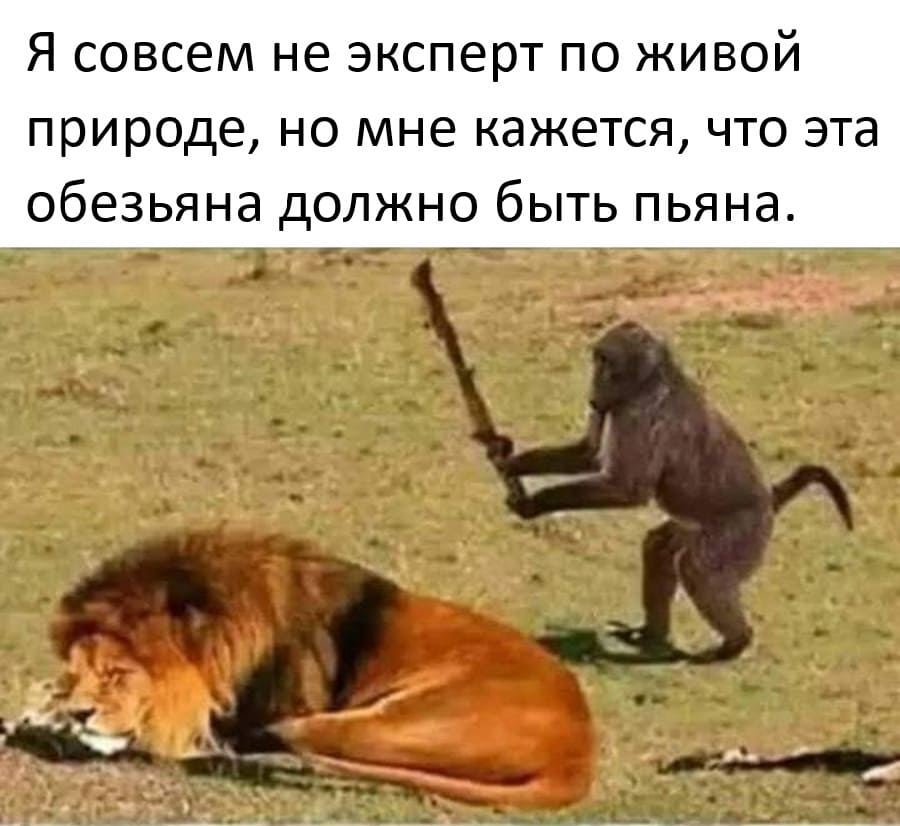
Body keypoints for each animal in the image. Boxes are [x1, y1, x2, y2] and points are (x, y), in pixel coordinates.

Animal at [489, 320, 853, 662]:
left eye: (605, 361)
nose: (593, 392)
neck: (654, 377)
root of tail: (769, 499)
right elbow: (588, 453)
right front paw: (508, 460)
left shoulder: (642, 413)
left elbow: (628, 489)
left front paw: (533, 504)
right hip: (693, 526)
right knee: (658, 548)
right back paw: (651, 634)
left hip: (740, 531)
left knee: (697, 569)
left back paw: (735, 643)